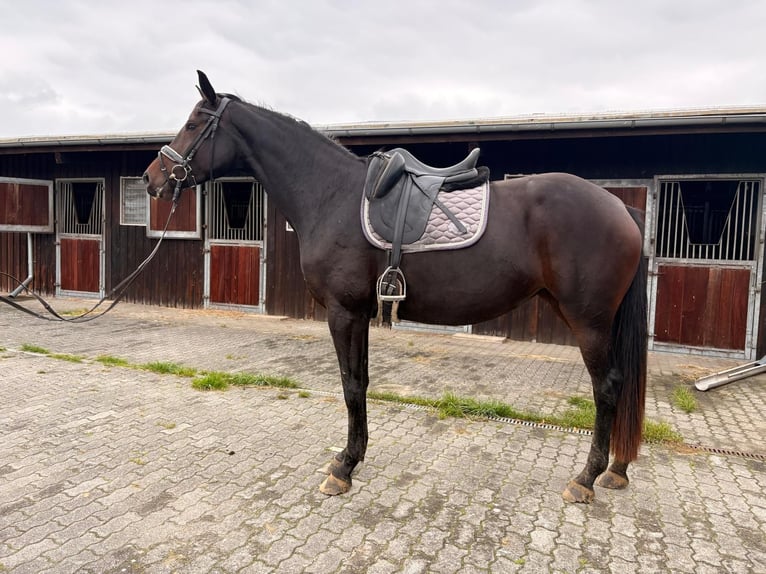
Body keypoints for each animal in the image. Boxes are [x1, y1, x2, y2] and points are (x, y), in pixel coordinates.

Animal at [143, 71, 648, 503]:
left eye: (193, 124)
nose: (152, 179)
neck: (331, 195)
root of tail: (621, 208)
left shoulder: (342, 311)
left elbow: (349, 384)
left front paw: (343, 469)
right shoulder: (361, 312)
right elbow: (362, 381)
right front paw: (354, 456)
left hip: (588, 319)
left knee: (607, 387)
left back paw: (586, 479)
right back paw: (616, 471)